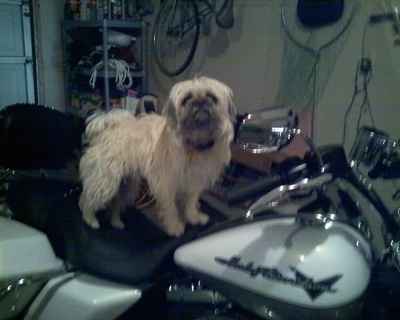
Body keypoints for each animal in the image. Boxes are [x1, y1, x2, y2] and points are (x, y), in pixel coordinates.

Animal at [78, 76, 236, 236]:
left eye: (212, 97)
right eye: (187, 99)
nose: (200, 101)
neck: (195, 141)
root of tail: (108, 127)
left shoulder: (194, 181)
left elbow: (190, 202)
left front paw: (194, 217)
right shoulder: (166, 185)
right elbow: (170, 208)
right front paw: (174, 227)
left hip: (128, 186)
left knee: (115, 204)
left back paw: (116, 222)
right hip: (105, 182)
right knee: (87, 199)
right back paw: (90, 219)